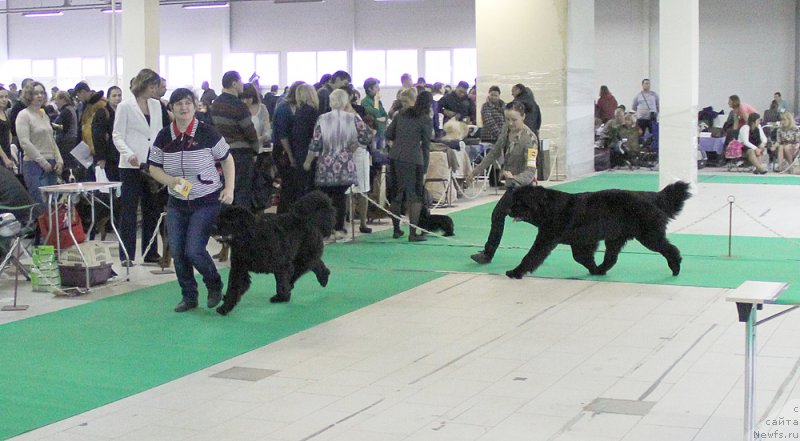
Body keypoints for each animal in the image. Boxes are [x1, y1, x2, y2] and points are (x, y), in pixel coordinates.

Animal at [506, 181, 688, 278]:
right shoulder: (580, 242)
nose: (508, 210)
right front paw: (593, 269)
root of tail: (652, 196)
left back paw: (676, 267)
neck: (549, 208)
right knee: (611, 258)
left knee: (670, 249)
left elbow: (531, 256)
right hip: (615, 238)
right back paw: (601, 270)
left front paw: (515, 272)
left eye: (519, 202)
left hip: (649, 236)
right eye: (513, 200)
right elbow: (582, 258)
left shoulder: (546, 239)